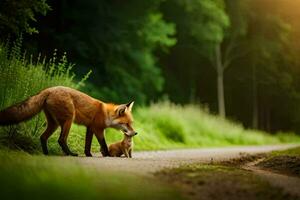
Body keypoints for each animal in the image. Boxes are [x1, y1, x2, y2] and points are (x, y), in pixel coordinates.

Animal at [0, 86, 137, 156]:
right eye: (126, 124)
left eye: (131, 123)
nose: (135, 133)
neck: (106, 114)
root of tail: (49, 89)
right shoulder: (98, 129)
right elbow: (103, 144)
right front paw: (107, 154)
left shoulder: (90, 128)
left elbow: (87, 145)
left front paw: (88, 155)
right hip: (68, 120)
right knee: (61, 140)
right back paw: (70, 153)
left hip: (54, 124)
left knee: (43, 137)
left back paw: (46, 154)